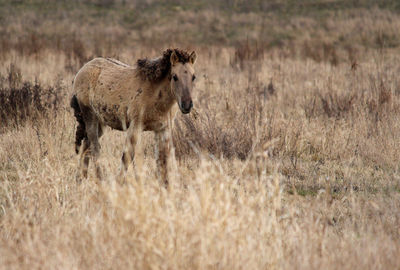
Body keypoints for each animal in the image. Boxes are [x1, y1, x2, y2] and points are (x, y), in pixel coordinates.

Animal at [70, 48, 198, 186]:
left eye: (193, 77)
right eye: (174, 77)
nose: (187, 105)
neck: (156, 95)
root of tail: (82, 70)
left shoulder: (163, 130)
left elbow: (163, 161)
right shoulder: (135, 127)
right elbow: (127, 157)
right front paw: (118, 184)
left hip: (101, 123)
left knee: (86, 145)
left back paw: (80, 179)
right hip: (90, 116)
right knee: (94, 147)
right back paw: (100, 180)